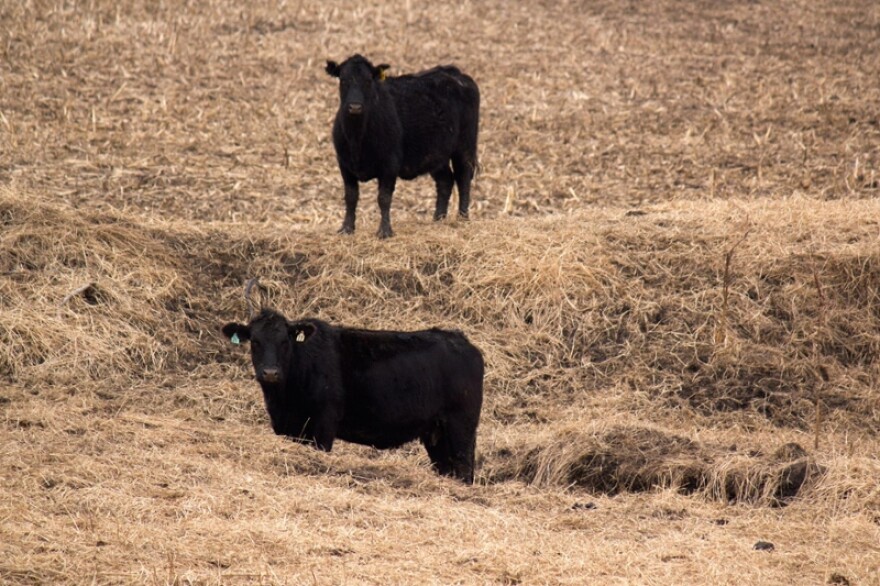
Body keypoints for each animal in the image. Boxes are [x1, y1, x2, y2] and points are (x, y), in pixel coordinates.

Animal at [221, 279, 484, 483]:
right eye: (255, 341)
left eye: (285, 341)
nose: (270, 373)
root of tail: (464, 342)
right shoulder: (285, 426)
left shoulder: (324, 423)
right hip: (436, 434)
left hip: (461, 427)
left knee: (464, 471)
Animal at [325, 54, 480, 238]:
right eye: (343, 80)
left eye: (368, 80)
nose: (355, 106)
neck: (357, 140)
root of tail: (455, 73)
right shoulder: (344, 165)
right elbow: (351, 197)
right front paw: (346, 228)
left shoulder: (390, 165)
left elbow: (384, 198)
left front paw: (385, 231)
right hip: (436, 154)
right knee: (445, 181)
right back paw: (438, 219)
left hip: (465, 146)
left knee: (464, 178)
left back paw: (462, 218)